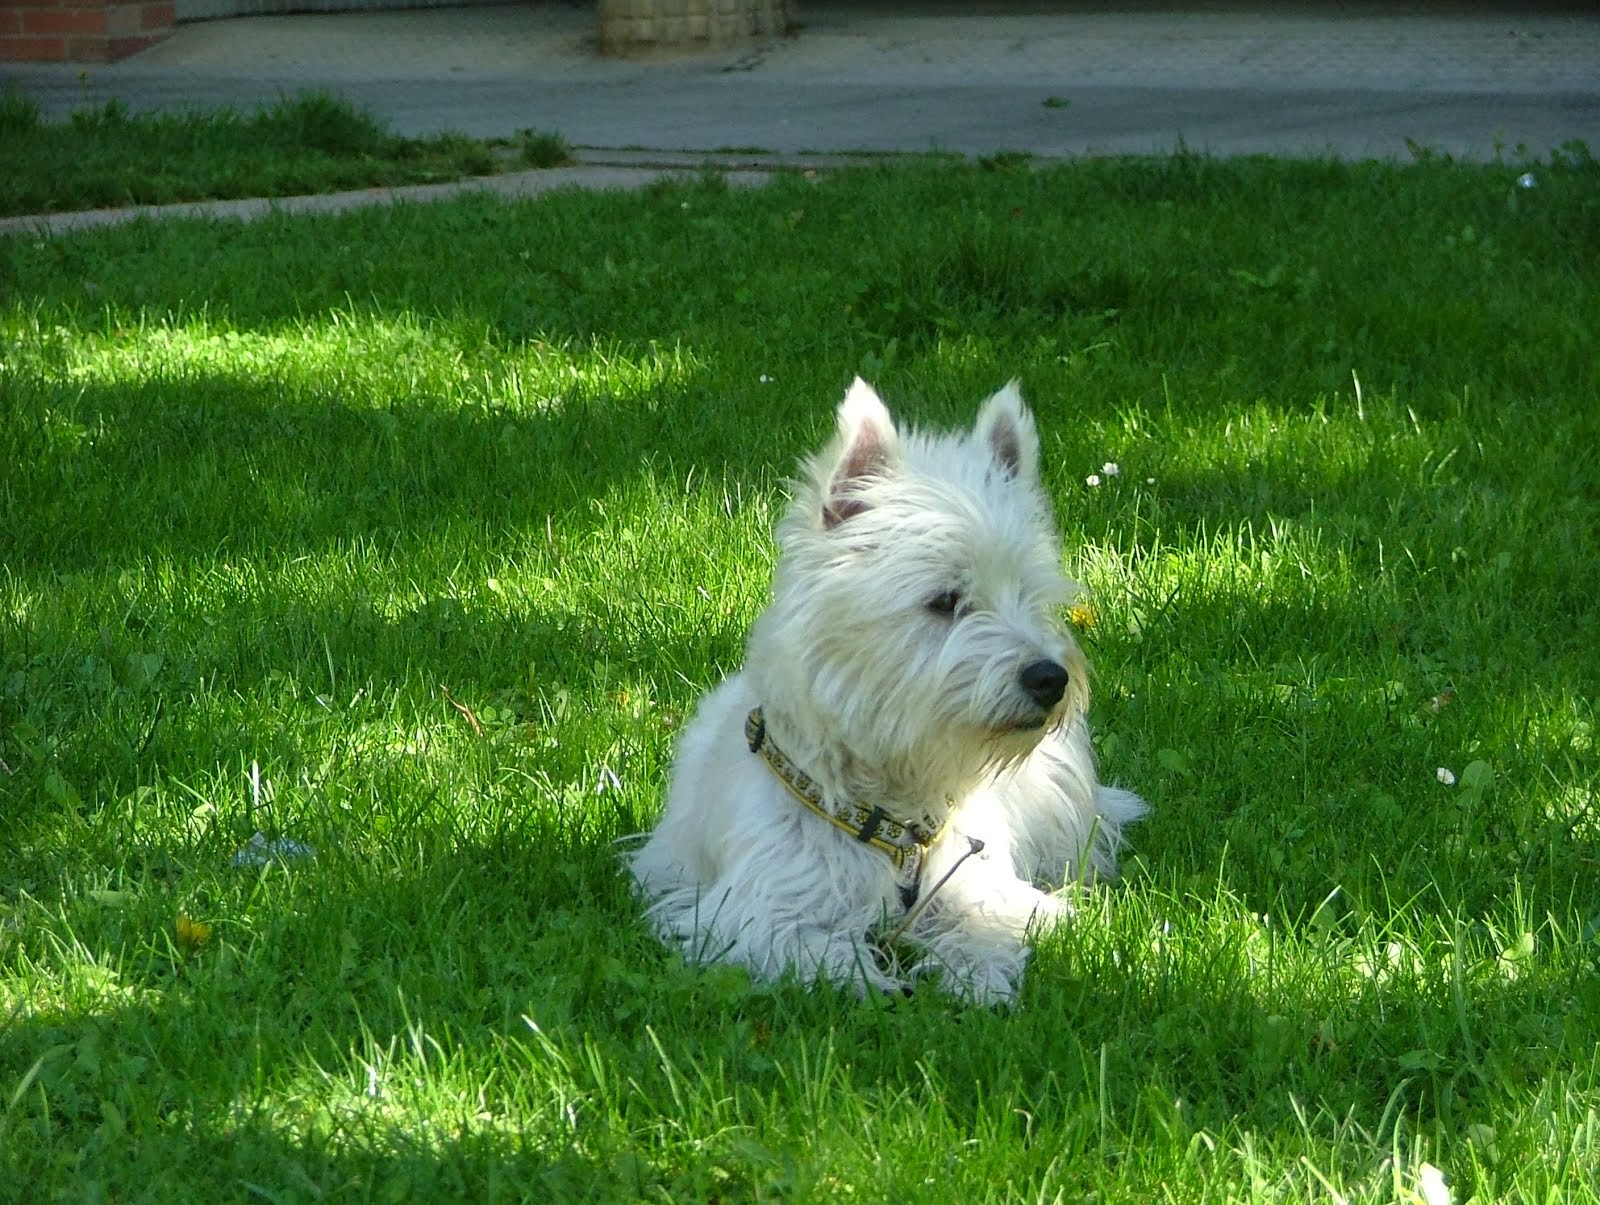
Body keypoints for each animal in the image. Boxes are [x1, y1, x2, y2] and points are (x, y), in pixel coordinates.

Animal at [630, 380, 1145, 998]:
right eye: (944, 600)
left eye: (1028, 595)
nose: (1051, 678)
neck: (896, 813)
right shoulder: (762, 911)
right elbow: (821, 954)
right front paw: (879, 983)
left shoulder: (977, 884)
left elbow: (988, 923)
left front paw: (979, 978)